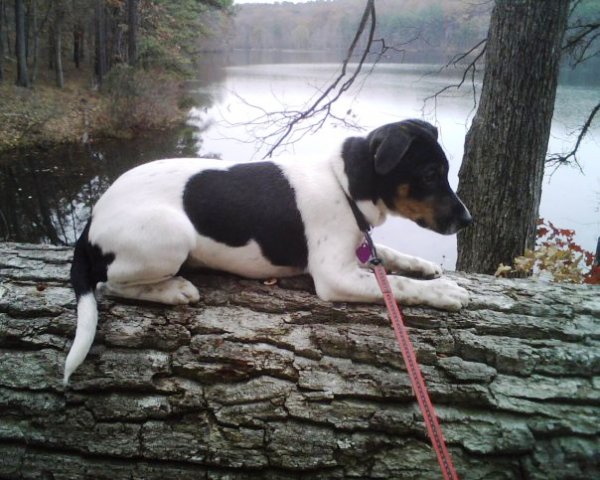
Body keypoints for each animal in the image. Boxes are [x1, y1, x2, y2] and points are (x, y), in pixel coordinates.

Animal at [63, 119, 472, 382]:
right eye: (430, 174)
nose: (467, 220)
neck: (343, 184)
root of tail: (91, 223)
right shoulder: (335, 277)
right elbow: (400, 286)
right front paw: (444, 291)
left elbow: (392, 257)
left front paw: (426, 267)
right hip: (171, 234)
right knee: (109, 285)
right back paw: (172, 290)